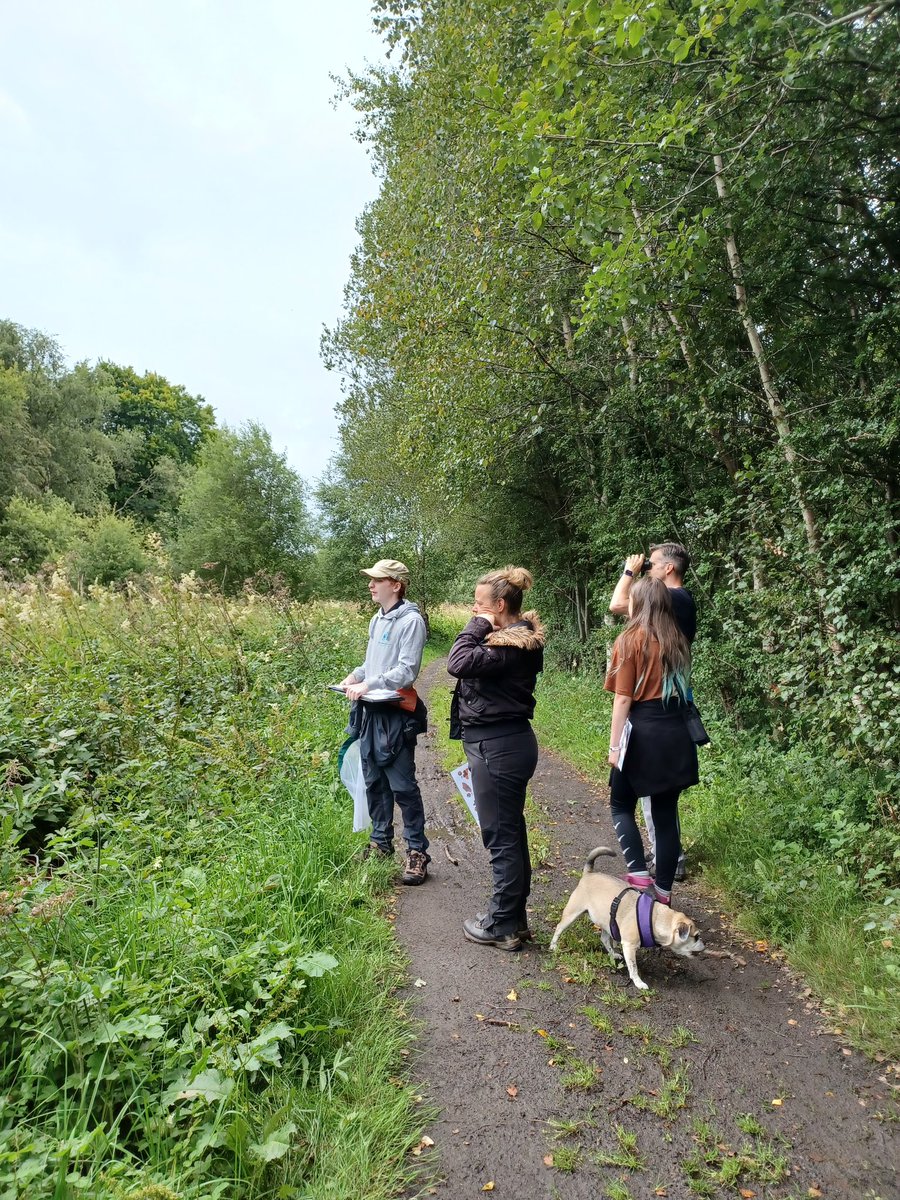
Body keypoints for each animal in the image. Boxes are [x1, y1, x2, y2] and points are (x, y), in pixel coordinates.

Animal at [549, 844, 705, 984]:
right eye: (696, 937)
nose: (704, 947)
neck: (655, 918)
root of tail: (589, 873)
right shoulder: (629, 946)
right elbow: (633, 967)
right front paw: (638, 982)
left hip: (608, 922)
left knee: (604, 939)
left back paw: (613, 953)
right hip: (572, 913)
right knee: (559, 927)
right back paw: (553, 945)